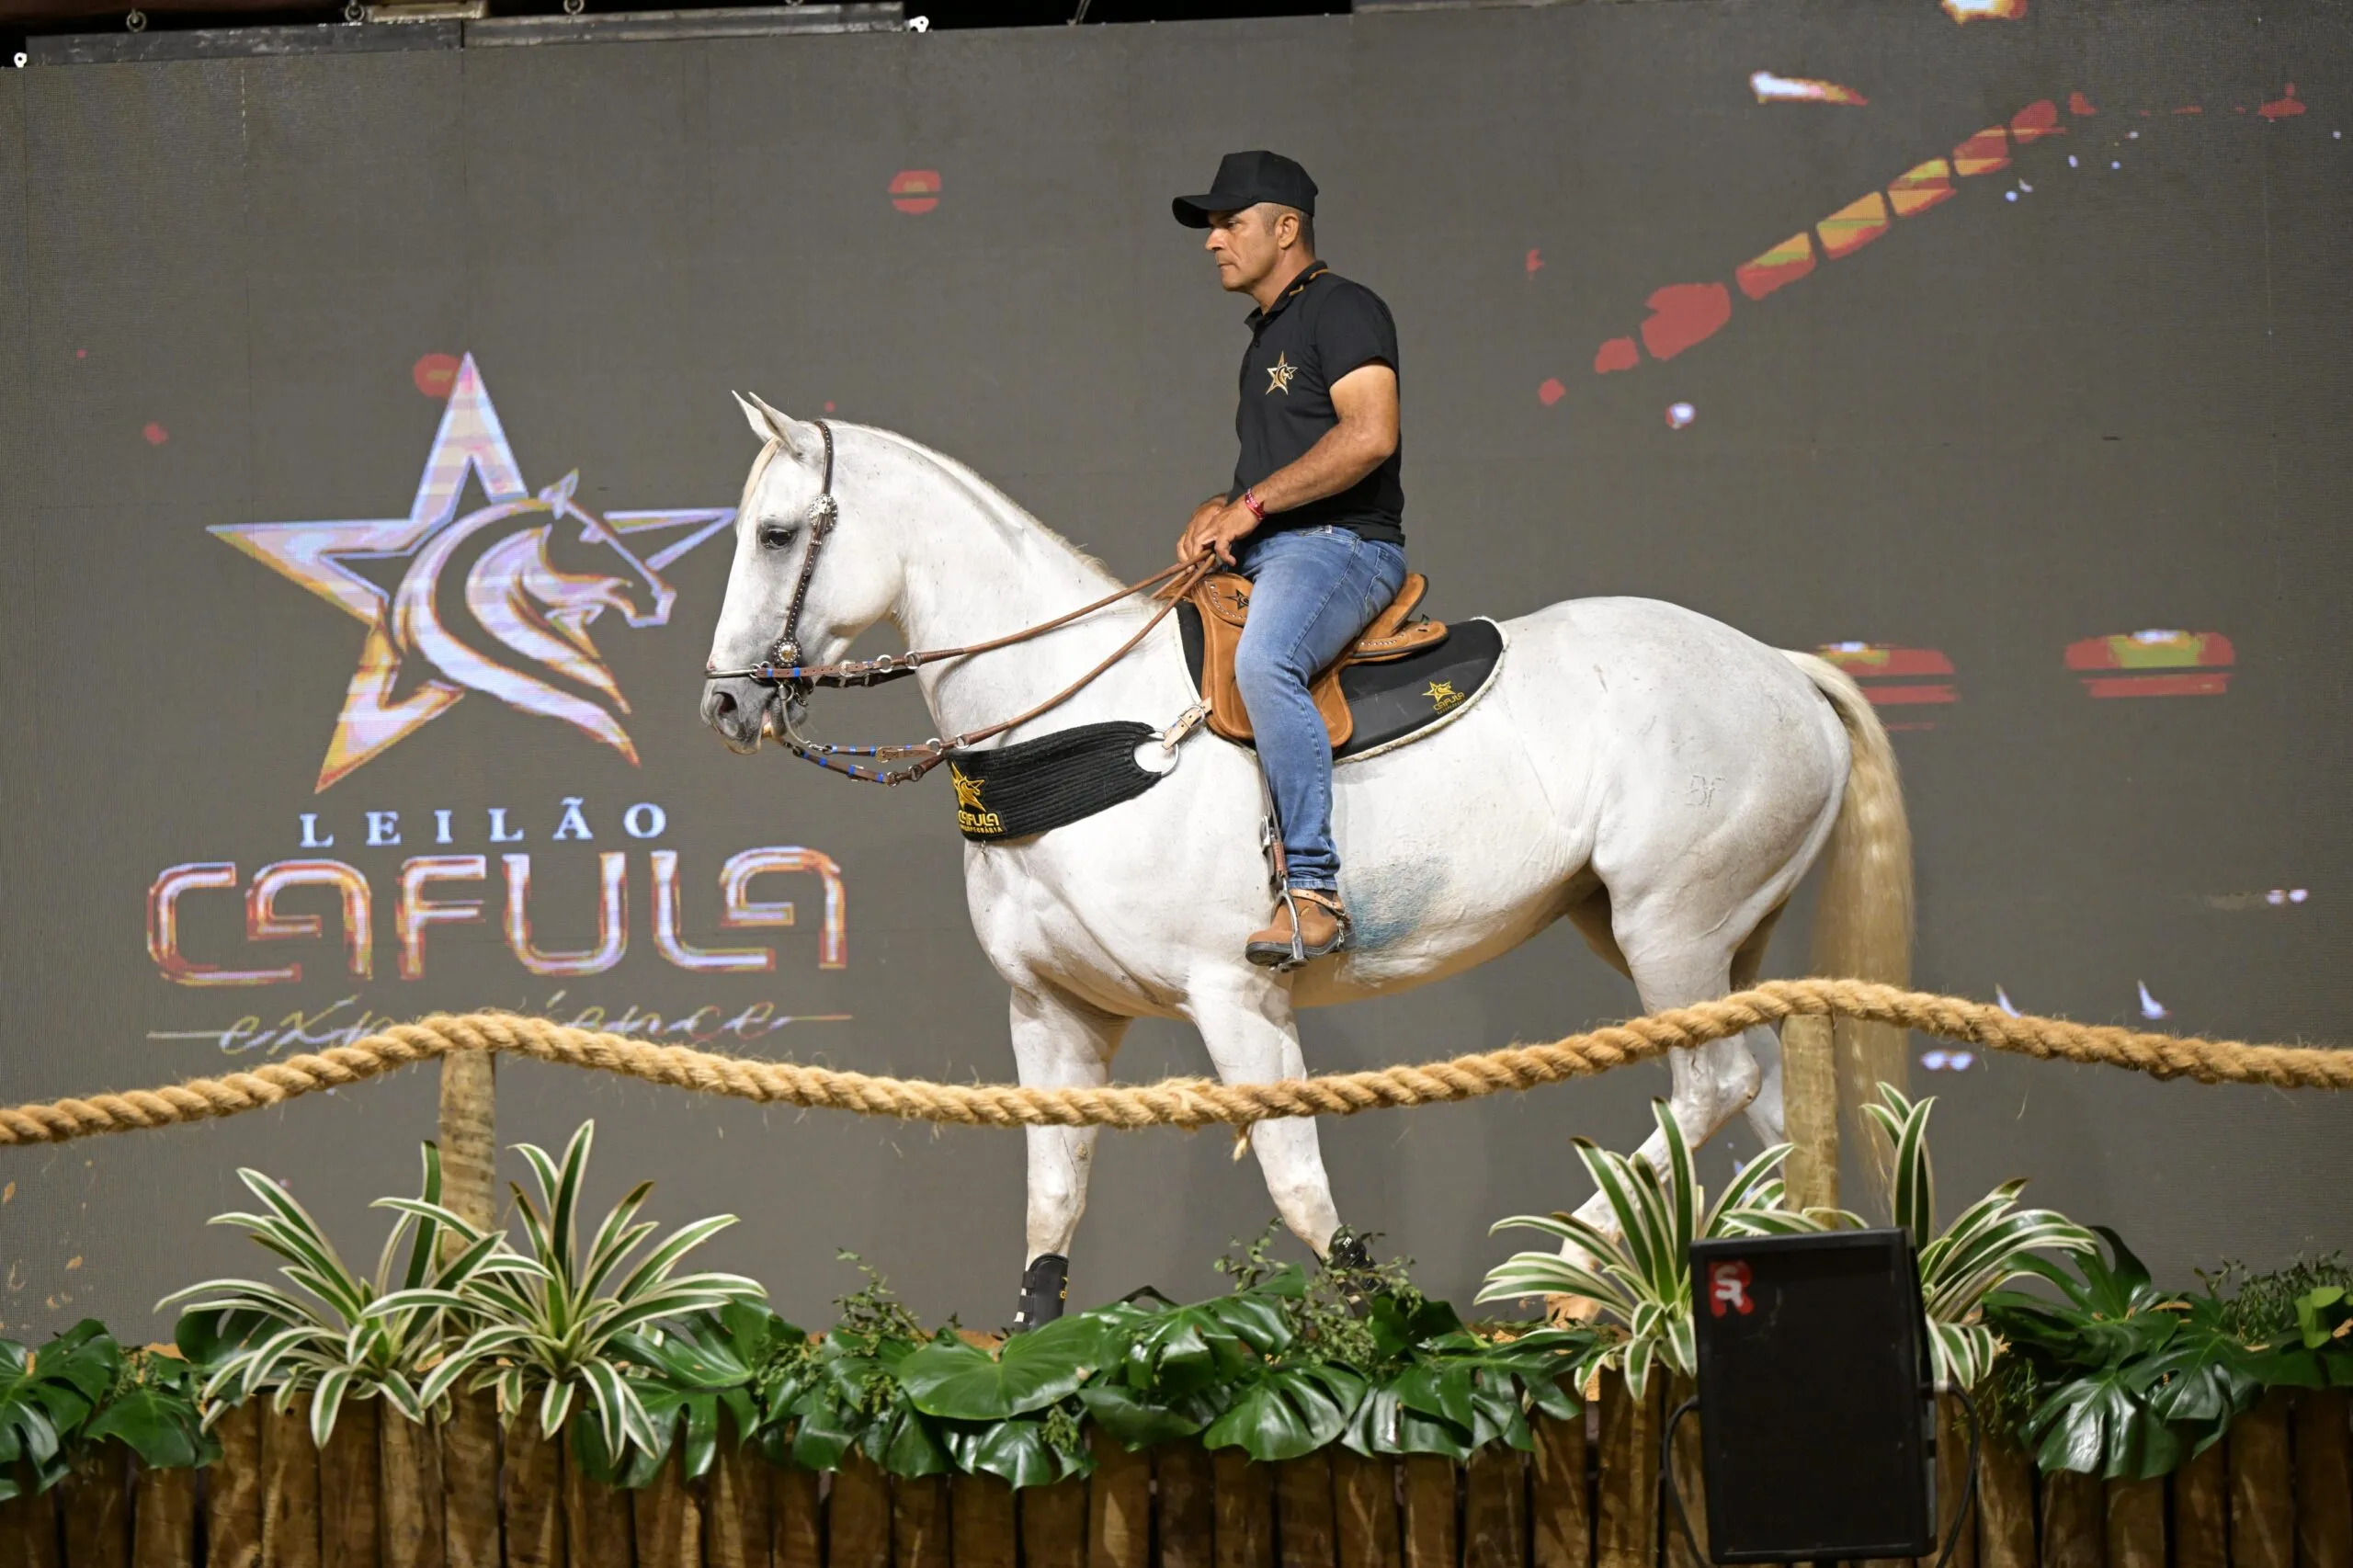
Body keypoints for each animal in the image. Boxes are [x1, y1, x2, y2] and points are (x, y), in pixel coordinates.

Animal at [696, 397, 1910, 1309]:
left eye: (776, 533)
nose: (724, 704)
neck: (1086, 730)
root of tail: (1783, 670)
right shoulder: (1052, 1012)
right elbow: (1053, 1195)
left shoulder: (1237, 1000)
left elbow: (1293, 1179)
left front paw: (1384, 1325)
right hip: (1688, 942)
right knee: (1757, 1103)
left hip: (1670, 929)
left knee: (1712, 1086)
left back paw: (1564, 1262)